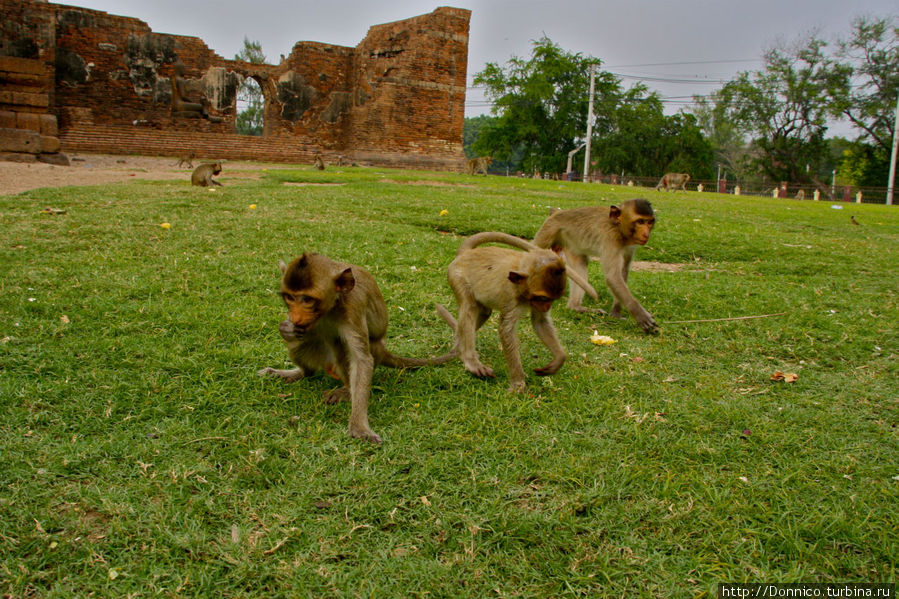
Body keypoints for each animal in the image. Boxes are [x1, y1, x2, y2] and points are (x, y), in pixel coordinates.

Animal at [258, 253, 458, 446]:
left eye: (307, 299)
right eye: (290, 298)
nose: (294, 316)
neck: (333, 304)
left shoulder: (353, 307)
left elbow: (361, 359)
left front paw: (359, 426)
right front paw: (287, 328)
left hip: (372, 350)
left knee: (343, 348)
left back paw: (346, 390)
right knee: (304, 345)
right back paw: (299, 372)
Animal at [434, 233, 596, 394]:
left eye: (551, 300)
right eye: (543, 298)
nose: (546, 307)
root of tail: (466, 253)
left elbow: (540, 322)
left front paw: (559, 359)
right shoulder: (509, 295)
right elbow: (506, 330)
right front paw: (518, 383)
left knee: (484, 311)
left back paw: (458, 346)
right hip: (456, 276)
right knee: (469, 307)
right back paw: (469, 359)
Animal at [536, 200, 660, 332]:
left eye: (649, 222)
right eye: (640, 221)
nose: (646, 234)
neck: (618, 229)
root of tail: (557, 212)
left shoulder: (630, 247)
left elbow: (622, 273)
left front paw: (616, 313)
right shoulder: (611, 240)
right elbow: (613, 278)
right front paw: (640, 315)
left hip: (571, 245)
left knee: (580, 265)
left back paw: (575, 307)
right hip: (548, 231)